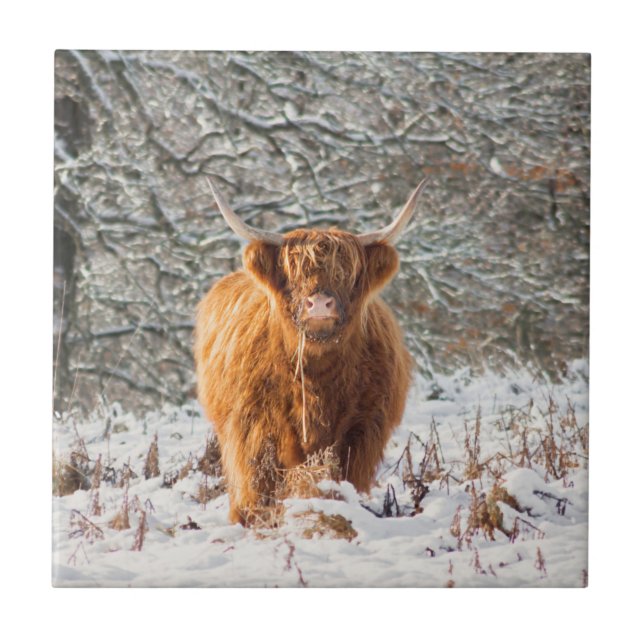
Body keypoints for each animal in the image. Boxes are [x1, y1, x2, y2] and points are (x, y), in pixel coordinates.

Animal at [194, 177, 430, 524]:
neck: (316, 377)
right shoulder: (252, 425)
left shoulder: (363, 428)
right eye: (294, 273)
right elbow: (258, 481)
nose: (319, 304)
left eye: (346, 273)